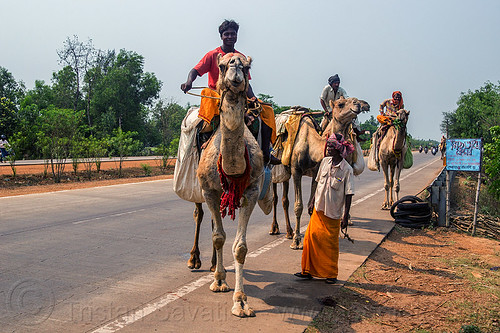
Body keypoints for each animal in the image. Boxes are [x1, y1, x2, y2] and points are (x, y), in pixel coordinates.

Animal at [195, 52, 270, 316]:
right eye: (221, 65)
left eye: (247, 67)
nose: (235, 68)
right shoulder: (209, 191)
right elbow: (218, 237)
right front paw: (218, 282)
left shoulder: (252, 191)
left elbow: (240, 247)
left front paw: (241, 301)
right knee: (204, 219)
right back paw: (202, 264)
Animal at [268, 96, 370, 246]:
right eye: (340, 104)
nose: (360, 104)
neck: (312, 146)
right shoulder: (296, 170)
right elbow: (298, 206)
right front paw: (297, 241)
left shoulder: (316, 172)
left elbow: (312, 205)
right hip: (276, 169)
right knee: (275, 198)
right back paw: (275, 229)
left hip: (286, 171)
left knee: (284, 199)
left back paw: (289, 232)